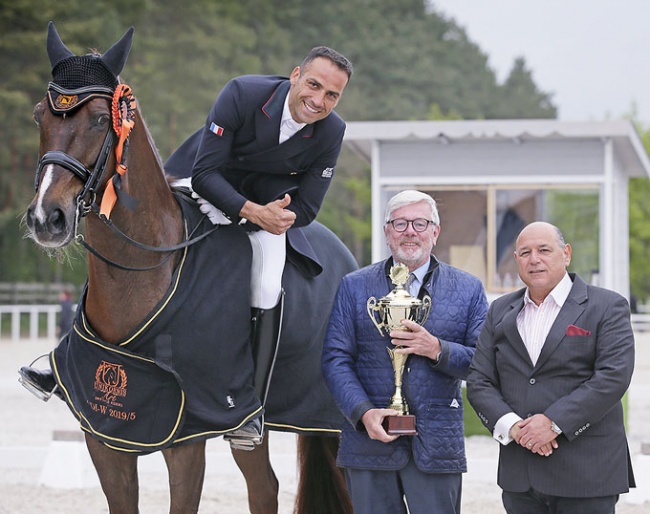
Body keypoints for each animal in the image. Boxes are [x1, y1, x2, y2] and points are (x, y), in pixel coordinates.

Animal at [22, 22, 354, 510]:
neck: (140, 270)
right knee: (264, 487)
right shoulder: (106, 436)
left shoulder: (185, 437)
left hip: (330, 417)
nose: (48, 218)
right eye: (39, 118)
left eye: (101, 120)